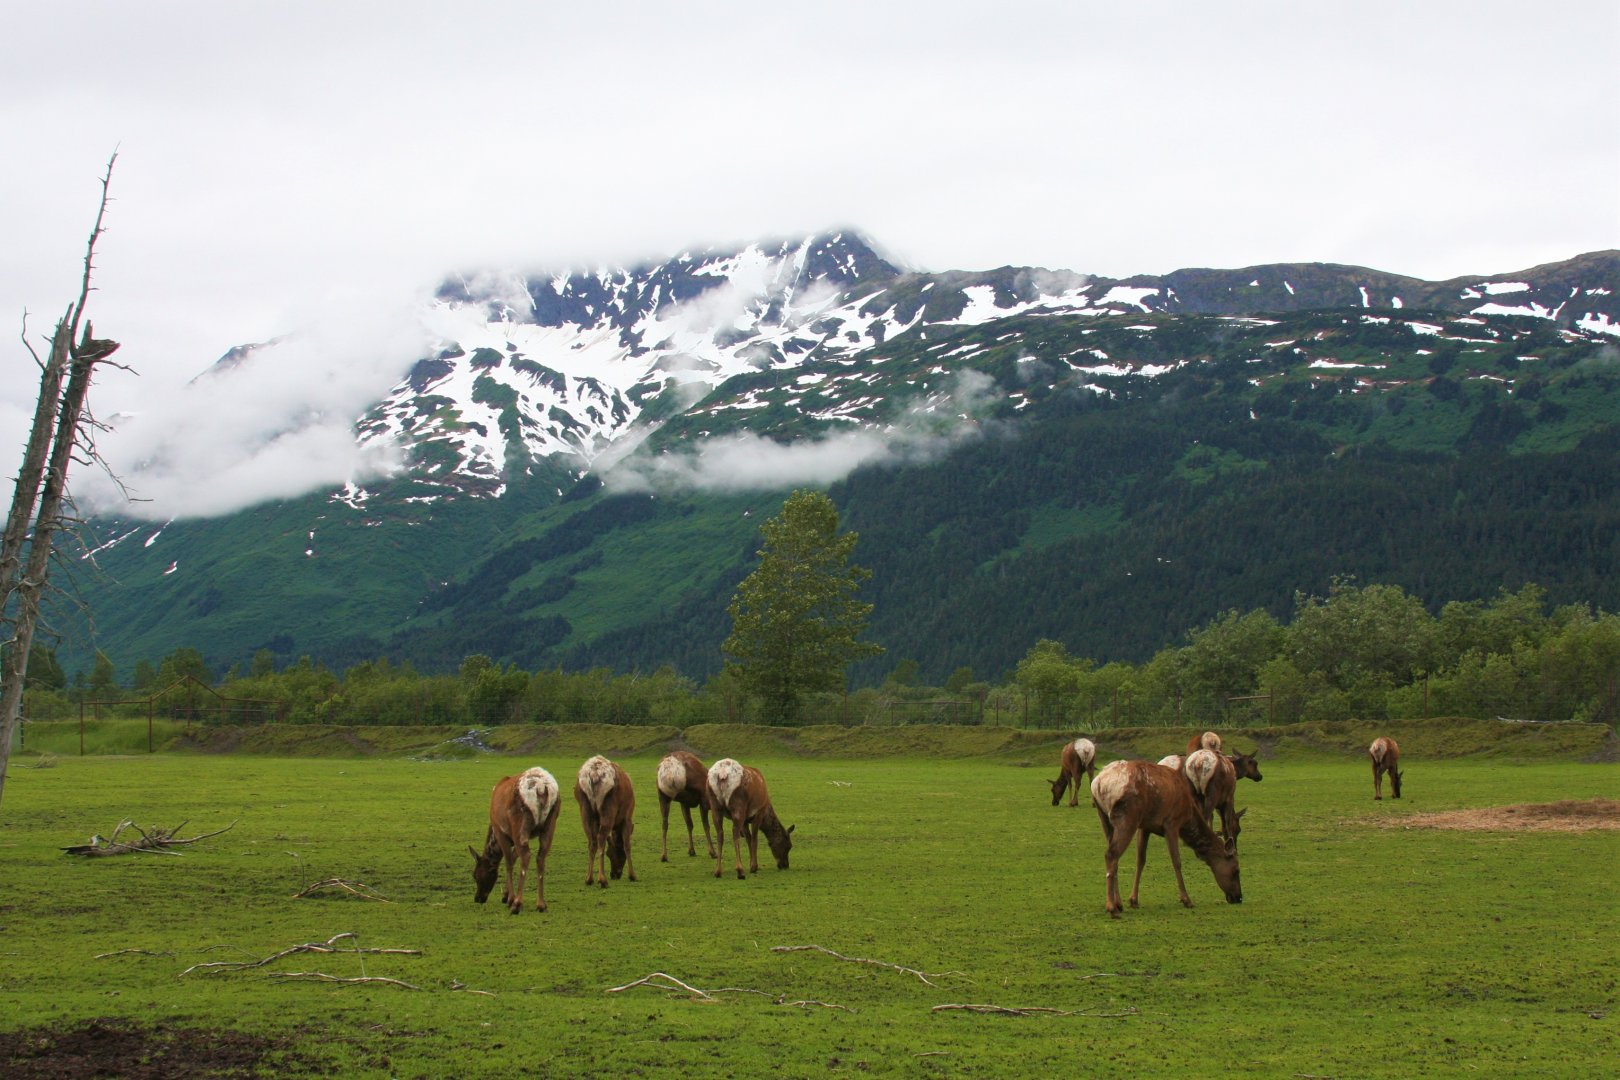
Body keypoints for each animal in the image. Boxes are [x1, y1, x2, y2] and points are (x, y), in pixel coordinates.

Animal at [469, 766, 561, 915]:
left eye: (476, 875)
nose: (478, 898)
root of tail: (541, 787)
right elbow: (514, 857)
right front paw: (505, 896)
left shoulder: (501, 832)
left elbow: (508, 862)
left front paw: (509, 899)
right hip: (551, 822)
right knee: (540, 857)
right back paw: (541, 904)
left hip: (519, 822)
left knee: (526, 855)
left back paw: (517, 904)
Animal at [575, 755, 638, 888]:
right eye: (618, 853)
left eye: (610, 853)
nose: (614, 874)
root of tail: (594, 774)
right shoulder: (627, 816)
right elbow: (627, 844)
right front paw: (633, 875)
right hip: (608, 806)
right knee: (601, 837)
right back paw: (602, 879)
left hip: (585, 807)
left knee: (592, 841)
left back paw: (589, 879)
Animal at [1091, 759, 1242, 916]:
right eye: (1236, 870)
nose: (1238, 897)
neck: (1188, 815)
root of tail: (1098, 784)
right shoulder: (1172, 823)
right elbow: (1176, 861)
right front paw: (1187, 900)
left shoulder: (1145, 826)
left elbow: (1141, 860)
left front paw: (1133, 900)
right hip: (1127, 817)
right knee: (1111, 854)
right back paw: (1111, 907)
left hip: (1105, 818)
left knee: (1114, 858)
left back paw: (1119, 903)